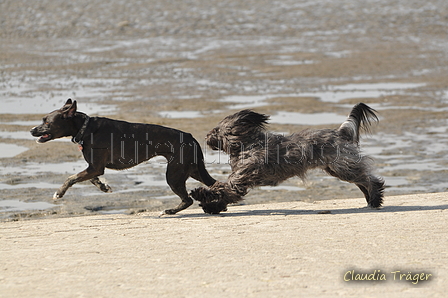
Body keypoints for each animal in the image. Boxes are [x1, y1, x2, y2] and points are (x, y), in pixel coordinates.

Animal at [30, 99, 216, 214]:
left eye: (47, 122)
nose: (31, 130)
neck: (86, 128)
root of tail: (190, 137)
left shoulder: (95, 167)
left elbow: (71, 178)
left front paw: (59, 193)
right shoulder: (94, 168)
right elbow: (90, 179)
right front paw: (104, 187)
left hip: (174, 175)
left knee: (188, 200)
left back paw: (169, 211)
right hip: (192, 170)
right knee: (213, 184)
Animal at [191, 103, 384, 214]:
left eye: (216, 130)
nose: (206, 136)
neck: (249, 144)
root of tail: (340, 132)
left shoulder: (240, 180)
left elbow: (222, 190)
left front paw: (201, 194)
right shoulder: (239, 182)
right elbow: (225, 194)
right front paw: (211, 206)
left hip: (343, 167)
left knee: (370, 180)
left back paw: (375, 199)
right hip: (338, 169)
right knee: (362, 181)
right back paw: (369, 200)